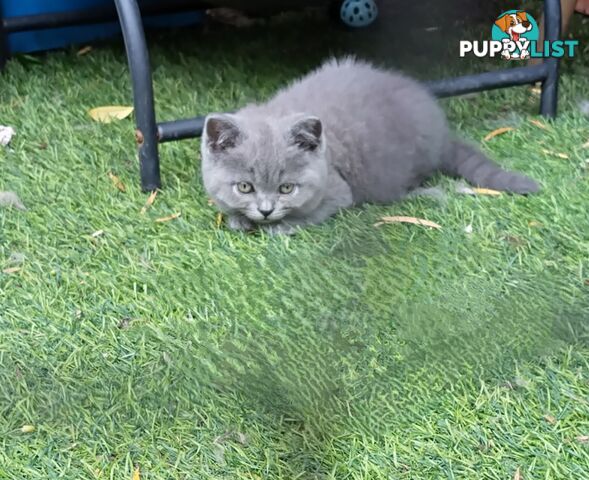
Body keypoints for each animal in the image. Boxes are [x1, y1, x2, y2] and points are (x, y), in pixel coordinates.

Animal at [200, 58, 540, 234]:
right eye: (245, 187)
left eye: (287, 189)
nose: (266, 210)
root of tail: (441, 131)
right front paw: (239, 219)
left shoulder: (338, 192)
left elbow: (312, 213)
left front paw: (280, 225)